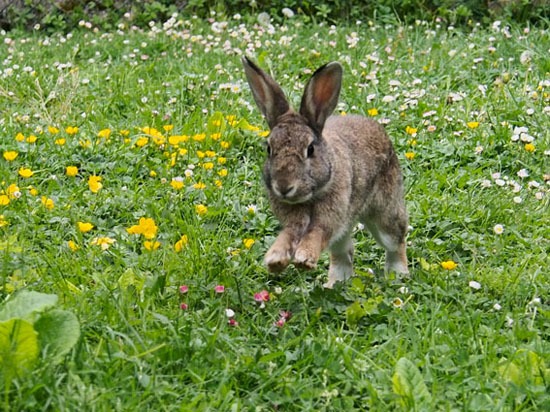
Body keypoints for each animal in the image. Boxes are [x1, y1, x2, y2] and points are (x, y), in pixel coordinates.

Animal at [242, 58, 410, 288]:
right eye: (269, 148)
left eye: (310, 149)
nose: (284, 187)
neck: (310, 196)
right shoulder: (294, 221)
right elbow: (288, 234)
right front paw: (275, 260)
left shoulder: (330, 215)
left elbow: (317, 232)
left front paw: (304, 259)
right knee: (344, 252)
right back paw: (334, 285)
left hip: (385, 212)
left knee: (397, 240)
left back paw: (398, 276)